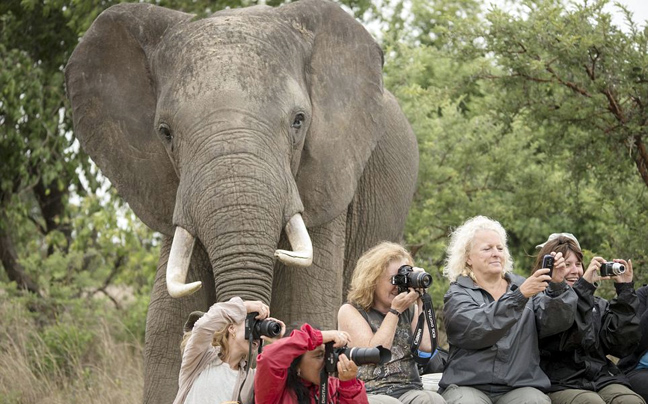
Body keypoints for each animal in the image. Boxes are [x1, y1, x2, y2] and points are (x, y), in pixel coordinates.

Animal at [66, 1, 418, 402]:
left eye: (299, 121)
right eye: (165, 133)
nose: (253, 329)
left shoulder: (329, 177)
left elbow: (305, 305)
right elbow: (164, 329)